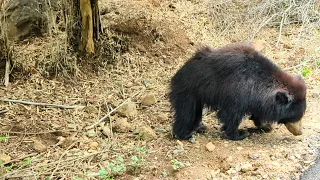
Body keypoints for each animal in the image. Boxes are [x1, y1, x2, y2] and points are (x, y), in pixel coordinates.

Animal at [170, 43, 308, 141]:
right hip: (188, 90)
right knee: (186, 112)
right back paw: (184, 134)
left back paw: (199, 127)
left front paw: (265, 126)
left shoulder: (256, 98)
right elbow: (231, 114)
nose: (300, 132)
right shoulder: (237, 92)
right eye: (295, 116)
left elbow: (257, 112)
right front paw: (239, 134)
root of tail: (180, 70)